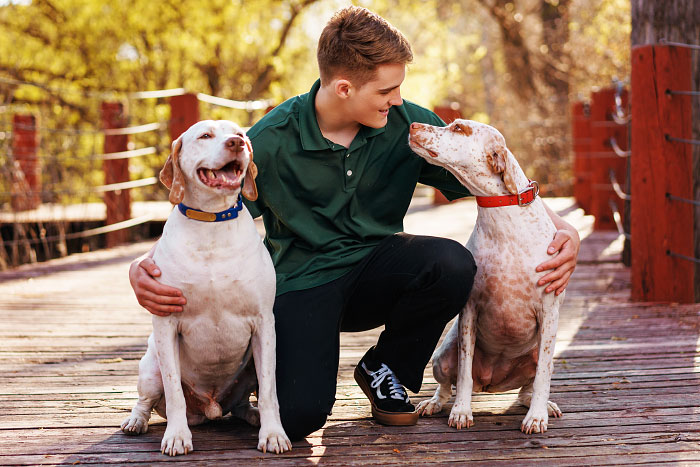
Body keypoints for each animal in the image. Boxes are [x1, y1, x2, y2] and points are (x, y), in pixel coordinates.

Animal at [121, 120, 292, 458]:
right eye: (205, 136)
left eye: (239, 133)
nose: (236, 143)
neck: (212, 222)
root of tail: (209, 408)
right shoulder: (166, 323)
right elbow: (174, 391)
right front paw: (176, 436)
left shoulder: (264, 324)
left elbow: (269, 390)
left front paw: (273, 434)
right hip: (150, 368)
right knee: (146, 400)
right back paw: (136, 421)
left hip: (248, 368)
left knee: (242, 403)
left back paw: (252, 415)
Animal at [410, 120, 564, 436]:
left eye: (459, 128)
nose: (413, 124)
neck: (503, 219)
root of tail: (492, 382)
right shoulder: (469, 310)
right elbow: (464, 375)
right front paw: (461, 411)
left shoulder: (549, 312)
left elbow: (542, 377)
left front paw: (536, 417)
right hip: (442, 355)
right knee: (446, 385)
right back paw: (434, 403)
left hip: (539, 356)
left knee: (528, 388)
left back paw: (542, 405)